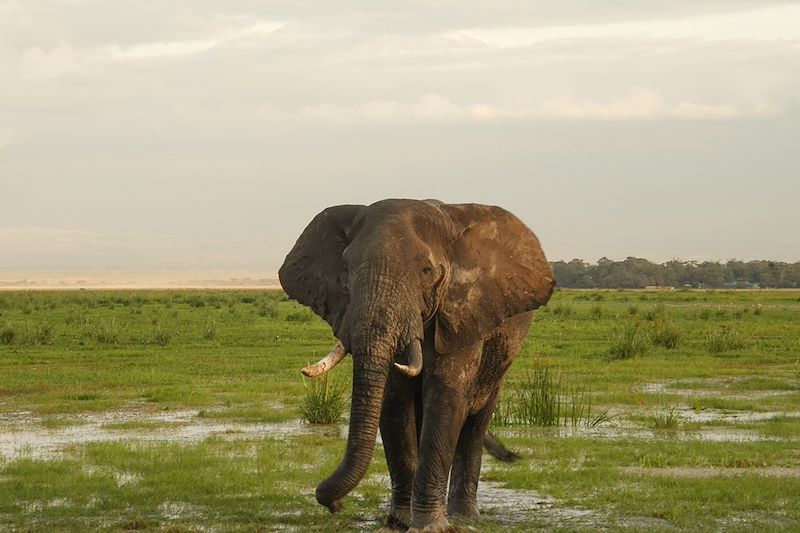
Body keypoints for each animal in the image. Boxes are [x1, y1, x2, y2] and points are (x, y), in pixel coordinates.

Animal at [282, 198, 556, 528]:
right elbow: (394, 402)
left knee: (474, 426)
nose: (335, 505)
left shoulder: (461, 314)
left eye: (426, 270)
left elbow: (445, 397)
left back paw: (464, 515)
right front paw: (398, 522)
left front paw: (429, 526)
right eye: (346, 268)